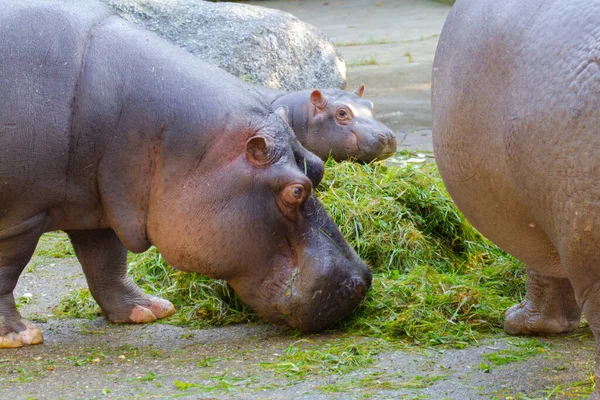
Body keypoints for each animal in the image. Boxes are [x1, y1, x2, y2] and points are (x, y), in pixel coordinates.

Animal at [0, 0, 370, 346]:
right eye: (295, 191)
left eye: (318, 167)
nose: (363, 279)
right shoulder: (21, 217)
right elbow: (8, 268)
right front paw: (20, 336)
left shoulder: (97, 203)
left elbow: (107, 259)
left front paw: (148, 310)